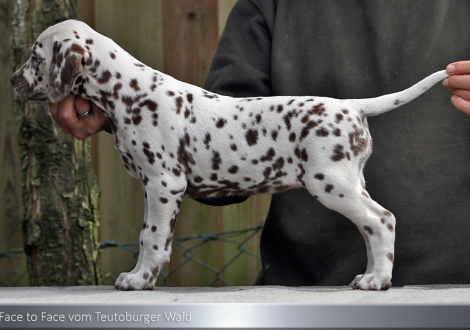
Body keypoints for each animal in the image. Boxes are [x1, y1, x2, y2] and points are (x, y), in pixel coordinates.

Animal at [12, 19, 450, 290]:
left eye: (35, 57)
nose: (13, 80)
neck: (129, 93)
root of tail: (352, 106)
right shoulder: (157, 189)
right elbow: (156, 238)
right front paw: (145, 277)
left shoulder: (163, 184)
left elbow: (150, 237)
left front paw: (138, 279)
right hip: (349, 183)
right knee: (372, 227)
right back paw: (372, 275)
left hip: (331, 184)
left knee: (382, 220)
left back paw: (377, 280)